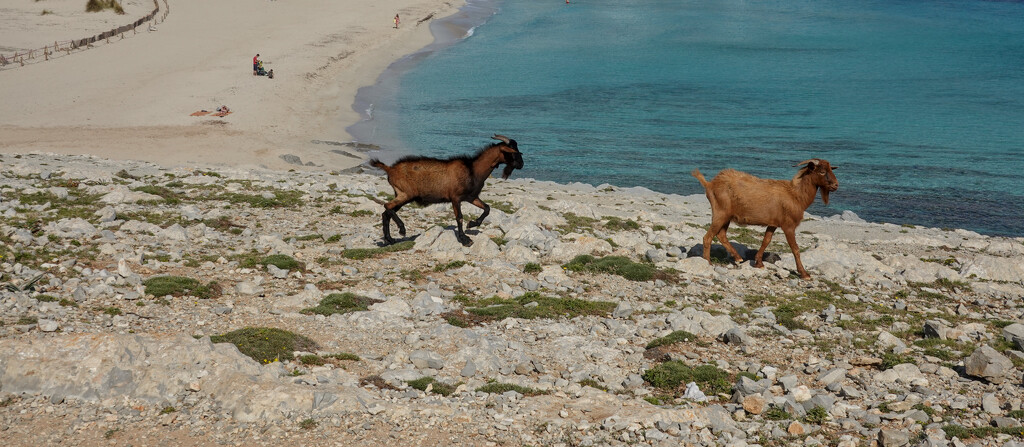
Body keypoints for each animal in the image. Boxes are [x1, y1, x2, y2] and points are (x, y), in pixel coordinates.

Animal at [368, 136, 524, 247]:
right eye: (512, 152)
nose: (521, 164)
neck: (473, 169)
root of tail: (390, 169)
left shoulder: (471, 197)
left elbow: (487, 208)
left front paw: (472, 224)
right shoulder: (455, 197)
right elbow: (459, 217)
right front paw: (464, 239)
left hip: (402, 195)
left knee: (386, 212)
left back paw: (389, 239)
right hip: (405, 194)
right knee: (387, 206)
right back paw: (401, 229)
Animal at [688, 158, 839, 278]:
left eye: (830, 169)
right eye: (821, 171)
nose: (836, 185)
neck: (796, 195)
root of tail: (710, 184)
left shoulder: (773, 223)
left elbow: (766, 241)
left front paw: (758, 262)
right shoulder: (788, 225)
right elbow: (795, 249)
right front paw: (804, 273)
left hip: (726, 216)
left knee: (721, 235)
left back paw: (738, 258)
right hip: (720, 213)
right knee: (708, 237)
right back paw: (707, 262)